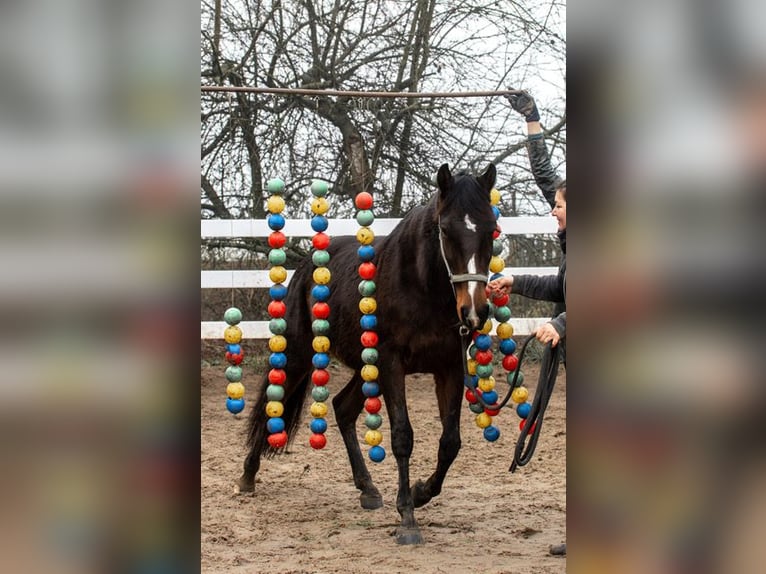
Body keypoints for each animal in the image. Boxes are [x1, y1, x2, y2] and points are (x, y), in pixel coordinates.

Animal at [243, 162, 500, 544]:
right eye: (445, 229)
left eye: (491, 229)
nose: (474, 310)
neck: (421, 286)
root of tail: (305, 266)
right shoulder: (392, 364)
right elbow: (403, 437)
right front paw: (407, 517)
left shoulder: (450, 367)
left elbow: (450, 442)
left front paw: (421, 493)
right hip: (300, 354)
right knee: (272, 402)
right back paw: (247, 475)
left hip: (367, 369)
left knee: (342, 408)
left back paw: (368, 488)